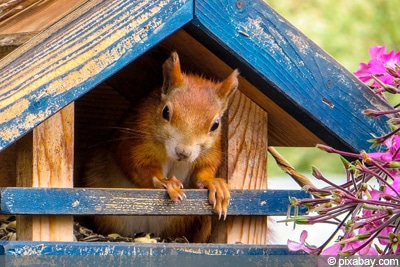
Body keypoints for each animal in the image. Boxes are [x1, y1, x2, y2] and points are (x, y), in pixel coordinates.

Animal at [81, 51, 238, 243]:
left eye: (215, 125)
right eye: (165, 112)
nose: (183, 152)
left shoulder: (210, 152)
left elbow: (204, 171)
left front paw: (214, 184)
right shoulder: (135, 140)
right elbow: (138, 167)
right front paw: (165, 181)